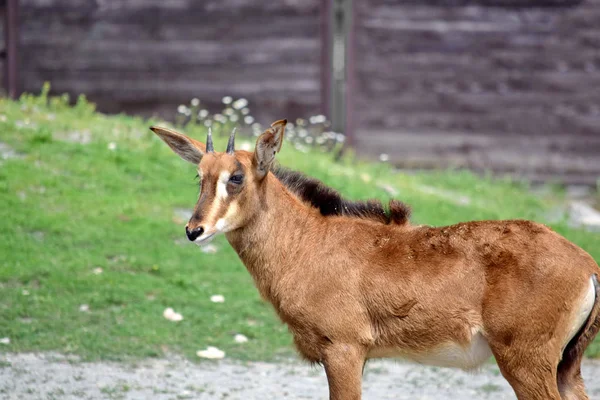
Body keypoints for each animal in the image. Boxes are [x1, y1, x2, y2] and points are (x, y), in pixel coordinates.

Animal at [151, 119, 600, 400]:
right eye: (200, 176)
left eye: (237, 177)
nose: (194, 230)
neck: (307, 242)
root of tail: (588, 267)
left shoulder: (344, 349)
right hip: (566, 367)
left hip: (526, 361)